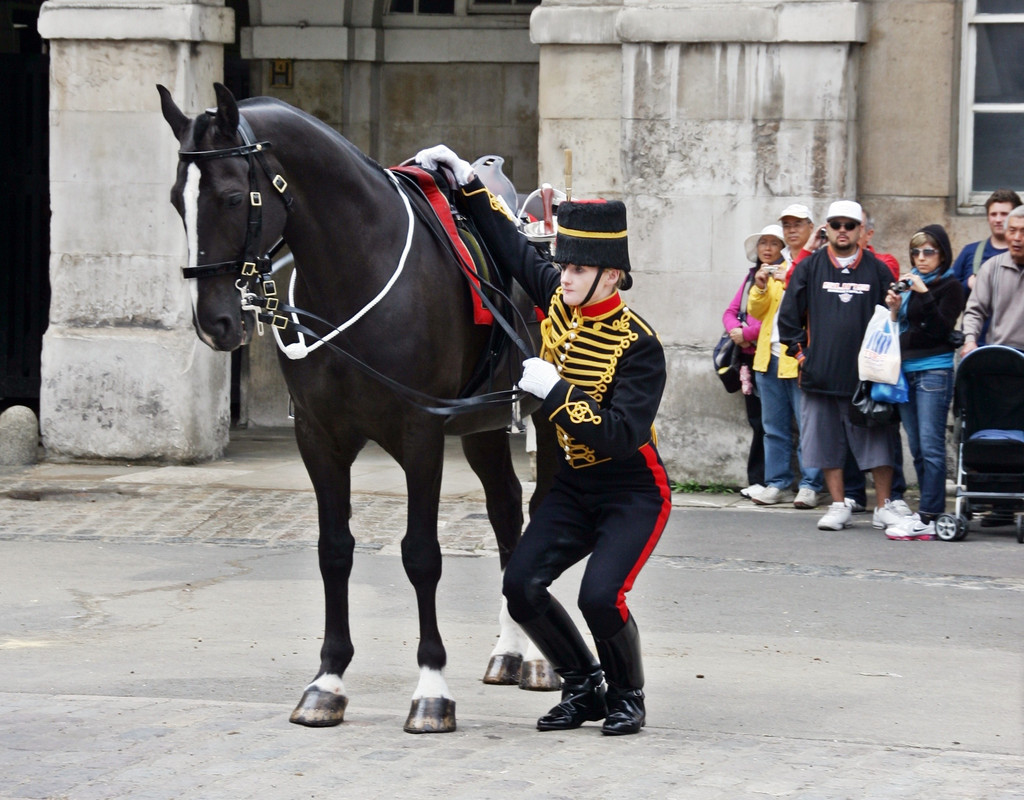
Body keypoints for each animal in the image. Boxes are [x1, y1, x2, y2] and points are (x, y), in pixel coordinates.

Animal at [157, 82, 561, 729]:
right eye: (177, 200)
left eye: (230, 196)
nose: (214, 322)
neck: (354, 268)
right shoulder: (320, 437)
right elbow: (334, 551)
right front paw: (328, 680)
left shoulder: (421, 433)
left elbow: (421, 555)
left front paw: (431, 687)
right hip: (482, 426)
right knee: (505, 514)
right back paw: (511, 649)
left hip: (544, 422)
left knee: (537, 513)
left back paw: (542, 659)